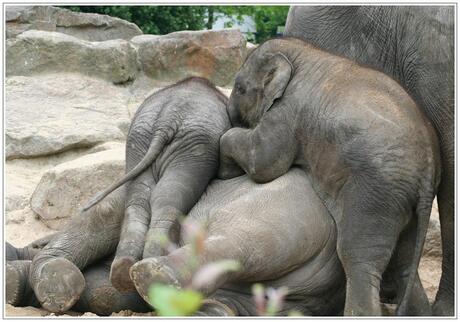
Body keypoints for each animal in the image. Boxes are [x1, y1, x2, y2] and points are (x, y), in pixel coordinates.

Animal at [25, 76, 230, 314]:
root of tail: (166, 120)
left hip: (148, 142)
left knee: (143, 198)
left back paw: (123, 272)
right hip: (190, 147)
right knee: (165, 197)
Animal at [220, 36, 442, 316]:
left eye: (239, 88)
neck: (300, 54)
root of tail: (428, 170)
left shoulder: (287, 112)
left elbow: (264, 163)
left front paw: (225, 169)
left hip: (376, 194)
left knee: (357, 257)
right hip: (403, 203)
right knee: (403, 263)